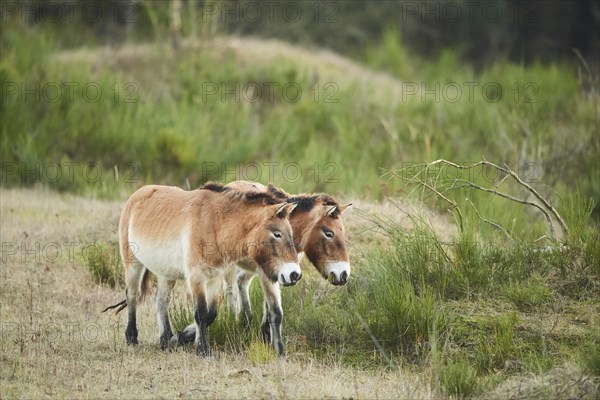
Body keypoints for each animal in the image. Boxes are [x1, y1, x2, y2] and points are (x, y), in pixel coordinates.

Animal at [105, 183, 300, 354]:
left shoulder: (215, 277)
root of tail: (138, 194)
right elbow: (200, 312)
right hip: (133, 265)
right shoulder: (196, 276)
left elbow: (210, 314)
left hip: (166, 274)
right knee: (132, 296)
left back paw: (166, 340)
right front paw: (203, 350)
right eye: (277, 234)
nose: (294, 274)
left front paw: (185, 339)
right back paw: (132, 337)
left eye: (291, 234)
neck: (215, 224)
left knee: (161, 301)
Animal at [173, 181, 352, 346]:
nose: (344, 274)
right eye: (329, 233)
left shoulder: (280, 272)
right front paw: (182, 336)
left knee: (239, 285)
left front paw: (267, 335)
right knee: (232, 291)